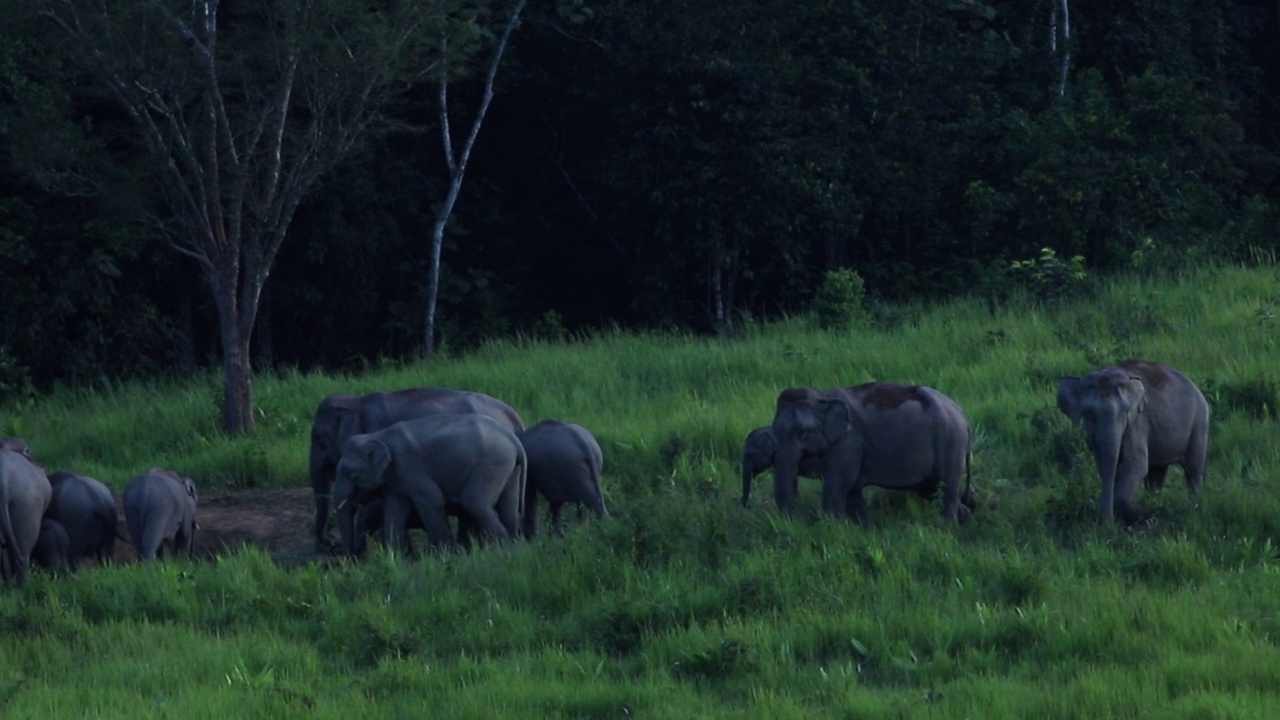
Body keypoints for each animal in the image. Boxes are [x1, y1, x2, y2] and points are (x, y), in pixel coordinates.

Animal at [335, 409, 529, 556]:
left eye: (349, 474)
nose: (351, 558)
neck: (378, 436)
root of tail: (513, 438)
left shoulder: (409, 465)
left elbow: (432, 500)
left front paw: (445, 556)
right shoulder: (396, 479)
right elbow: (394, 508)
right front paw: (394, 558)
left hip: (492, 462)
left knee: (475, 502)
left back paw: (506, 548)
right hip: (508, 465)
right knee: (508, 504)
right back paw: (515, 546)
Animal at [762, 384, 972, 525]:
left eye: (803, 432)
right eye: (774, 429)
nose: (796, 520)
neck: (822, 396)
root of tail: (961, 413)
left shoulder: (849, 443)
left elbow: (837, 486)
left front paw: (834, 530)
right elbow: (852, 492)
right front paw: (864, 531)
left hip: (951, 442)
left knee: (947, 490)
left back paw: (948, 528)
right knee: (933, 490)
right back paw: (965, 523)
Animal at [1049, 356, 1208, 520]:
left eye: (1125, 411)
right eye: (1089, 413)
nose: (1106, 523)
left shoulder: (1137, 422)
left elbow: (1136, 463)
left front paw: (1132, 511)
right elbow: (1103, 463)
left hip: (1199, 421)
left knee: (1193, 468)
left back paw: (1194, 504)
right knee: (1156, 471)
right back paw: (1154, 502)